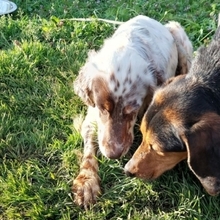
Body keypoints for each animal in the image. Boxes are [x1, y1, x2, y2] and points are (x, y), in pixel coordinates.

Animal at [72, 15, 192, 208]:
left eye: (131, 111)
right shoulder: (92, 116)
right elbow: (89, 145)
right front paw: (86, 182)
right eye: (102, 108)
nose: (113, 154)